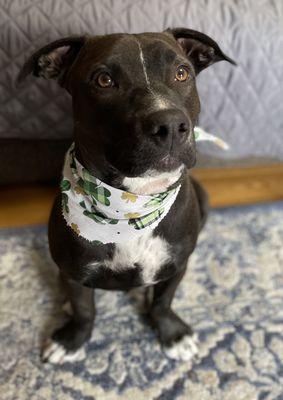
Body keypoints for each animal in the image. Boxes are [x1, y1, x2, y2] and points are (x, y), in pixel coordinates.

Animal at [18, 29, 235, 364]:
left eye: (182, 73)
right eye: (104, 80)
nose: (169, 124)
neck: (133, 206)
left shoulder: (177, 264)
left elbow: (163, 301)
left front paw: (172, 334)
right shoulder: (72, 271)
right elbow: (84, 309)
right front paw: (72, 341)